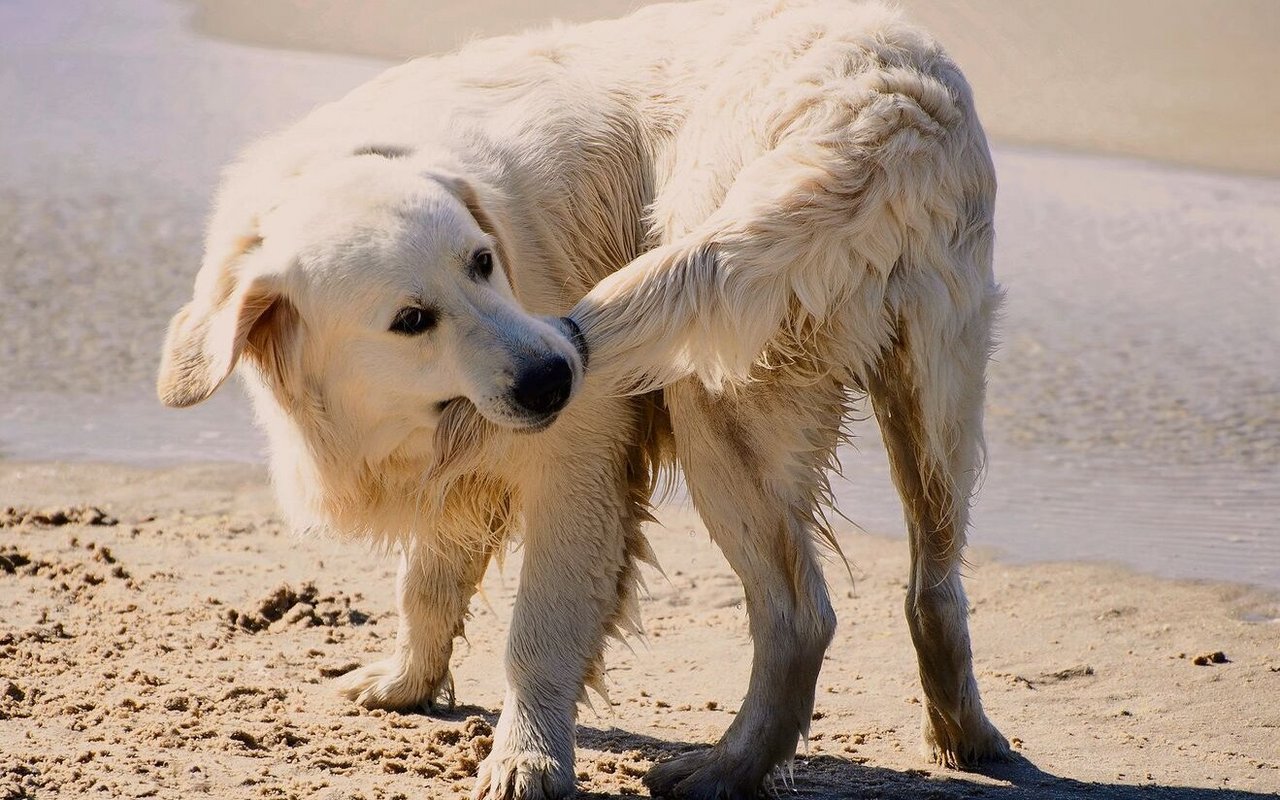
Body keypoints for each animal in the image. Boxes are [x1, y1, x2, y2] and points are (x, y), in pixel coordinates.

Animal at [157, 3, 1008, 793]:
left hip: (715, 393)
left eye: (483, 261)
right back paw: (966, 737)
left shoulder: (580, 461)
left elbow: (537, 633)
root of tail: (882, 111)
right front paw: (405, 684)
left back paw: (724, 768)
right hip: (935, 397)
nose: (554, 376)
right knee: (935, 587)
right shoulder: (457, 471)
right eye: (411, 320)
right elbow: (425, 584)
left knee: (800, 615)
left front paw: (526, 759)